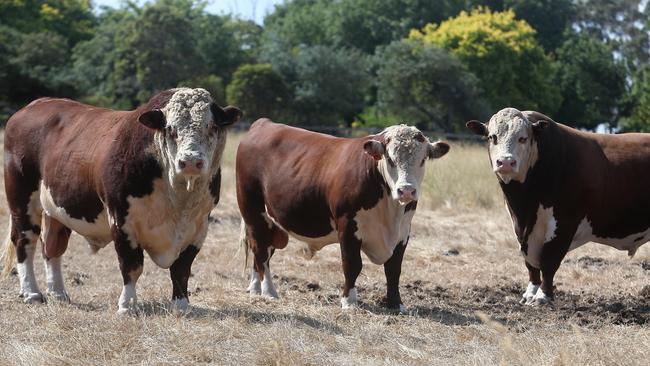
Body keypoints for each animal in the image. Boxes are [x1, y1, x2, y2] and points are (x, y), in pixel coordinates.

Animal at [0, 88, 240, 312]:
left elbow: (181, 269)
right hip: (22, 200)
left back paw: (58, 292)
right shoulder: (121, 219)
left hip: (58, 209)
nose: (190, 162)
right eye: (171, 129)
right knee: (24, 241)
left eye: (212, 126)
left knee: (52, 247)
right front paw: (127, 305)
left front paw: (181, 306)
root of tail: (33, 105)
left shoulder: (199, 226)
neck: (178, 198)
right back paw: (31, 292)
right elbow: (131, 265)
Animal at [466, 107, 650, 304]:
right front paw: (530, 292)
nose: (506, 162)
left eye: (523, 138)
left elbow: (549, 261)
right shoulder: (521, 229)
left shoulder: (564, 223)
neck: (526, 206)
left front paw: (542, 296)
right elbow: (530, 265)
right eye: (492, 137)